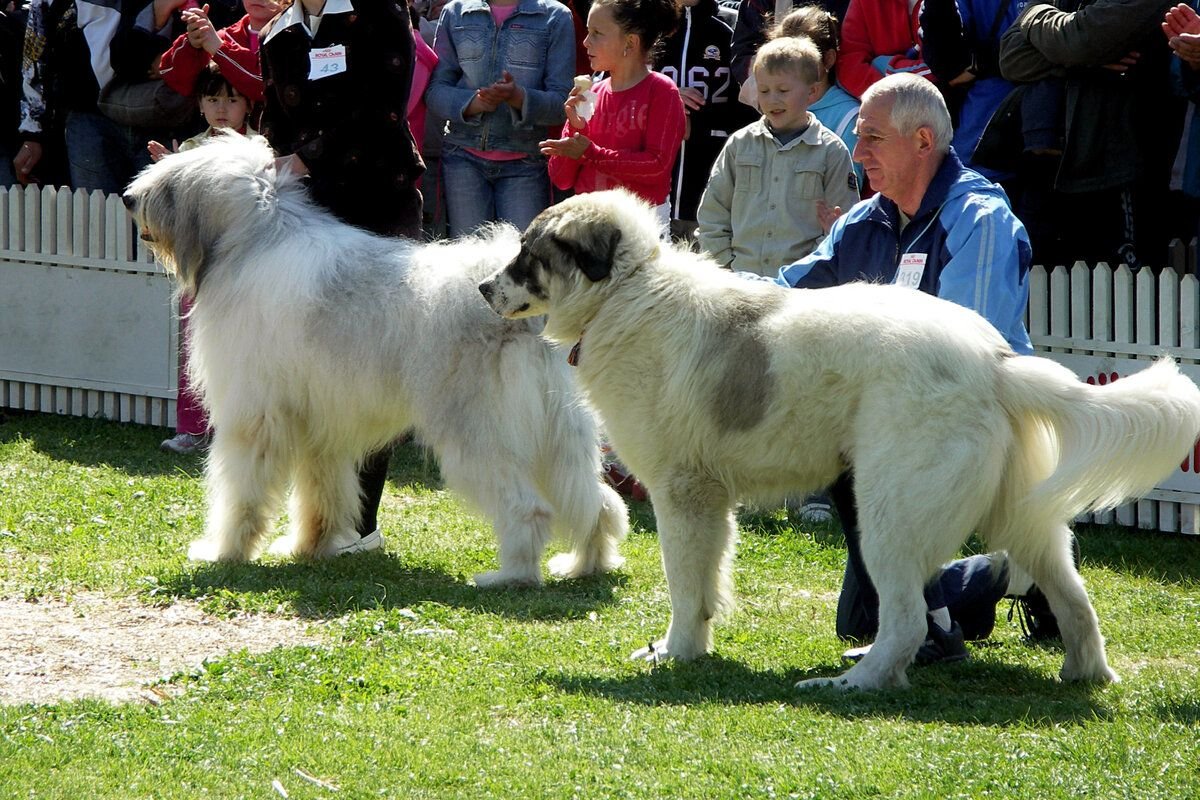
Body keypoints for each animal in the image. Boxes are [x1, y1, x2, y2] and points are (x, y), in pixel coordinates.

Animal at [121, 133, 628, 587]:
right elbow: (320, 494)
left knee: (530, 509)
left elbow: (240, 495)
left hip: (479, 434)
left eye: (166, 185)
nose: (127, 198)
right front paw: (308, 547)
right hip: (561, 435)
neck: (254, 241)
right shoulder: (320, 425)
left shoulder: (253, 420)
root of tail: (522, 313)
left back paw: (509, 577)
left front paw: (223, 552)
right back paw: (585, 565)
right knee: (597, 505)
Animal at [482, 189, 1200, 695]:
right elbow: (708, 584)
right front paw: (688, 649)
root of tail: (994, 360)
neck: (626, 294)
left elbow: (685, 586)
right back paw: (1085, 674)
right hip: (1021, 517)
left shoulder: (681, 494)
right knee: (1074, 600)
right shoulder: (710, 501)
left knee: (907, 617)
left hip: (890, 513)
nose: (484, 288)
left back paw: (853, 683)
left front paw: (677, 652)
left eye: (528, 254)